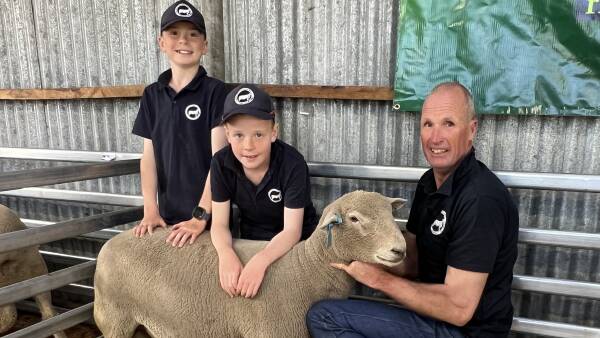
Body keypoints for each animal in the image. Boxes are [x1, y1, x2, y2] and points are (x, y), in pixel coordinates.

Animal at [94, 191, 406, 336]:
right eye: (354, 219)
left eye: (390, 214)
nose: (400, 250)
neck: (306, 270)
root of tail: (112, 241)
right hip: (114, 317)